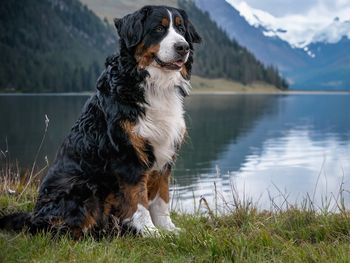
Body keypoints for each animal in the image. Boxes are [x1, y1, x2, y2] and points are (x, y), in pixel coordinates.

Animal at [0, 5, 201, 239]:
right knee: (60, 230)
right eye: (159, 28)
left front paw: (168, 229)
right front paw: (149, 231)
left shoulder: (165, 154)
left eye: (181, 28)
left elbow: (162, 199)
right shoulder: (128, 156)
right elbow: (138, 200)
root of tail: (34, 216)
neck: (153, 85)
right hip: (82, 186)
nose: (183, 47)